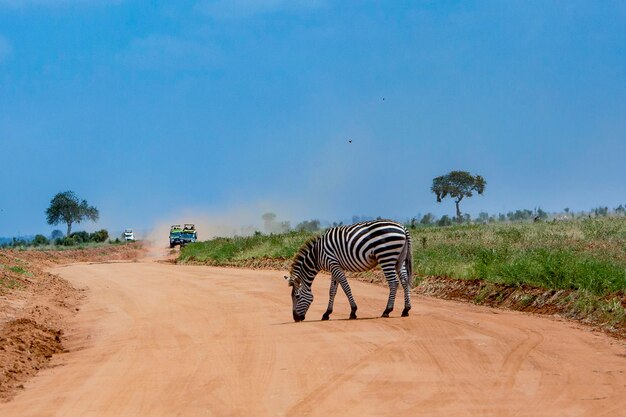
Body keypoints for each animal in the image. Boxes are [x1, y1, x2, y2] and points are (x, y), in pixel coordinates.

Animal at [282, 218, 410, 322]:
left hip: (386, 256)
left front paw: (353, 311)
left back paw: (387, 310)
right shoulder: (334, 266)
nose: (295, 319)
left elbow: (345, 286)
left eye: (297, 297)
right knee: (405, 281)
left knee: (394, 282)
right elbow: (332, 290)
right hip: (400, 258)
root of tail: (402, 227)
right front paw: (326, 313)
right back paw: (406, 309)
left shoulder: (333, 263)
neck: (317, 255)